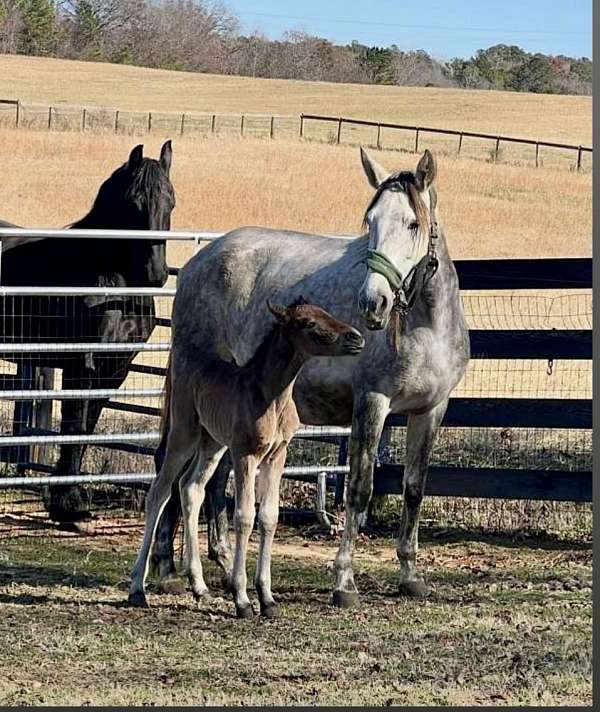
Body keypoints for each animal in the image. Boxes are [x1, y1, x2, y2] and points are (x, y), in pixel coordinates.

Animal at [0, 141, 175, 523]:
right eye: (134, 203)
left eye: (171, 201)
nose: (156, 274)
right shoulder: (82, 364)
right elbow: (74, 426)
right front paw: (66, 505)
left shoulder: (115, 369)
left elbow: (88, 426)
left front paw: (72, 501)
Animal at [129, 298, 365, 616]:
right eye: (309, 323)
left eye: (327, 312)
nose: (356, 338)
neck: (271, 396)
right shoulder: (245, 454)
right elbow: (243, 517)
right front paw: (242, 599)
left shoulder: (277, 455)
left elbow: (268, 516)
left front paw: (267, 598)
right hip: (184, 435)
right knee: (159, 492)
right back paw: (137, 589)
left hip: (213, 444)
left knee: (191, 488)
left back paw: (200, 587)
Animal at [150, 148, 470, 607]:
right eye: (370, 221)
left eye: (412, 223)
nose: (373, 303)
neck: (426, 325)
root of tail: (198, 262)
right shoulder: (372, 403)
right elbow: (359, 489)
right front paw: (344, 582)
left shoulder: (430, 410)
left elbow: (414, 488)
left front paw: (410, 576)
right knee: (171, 469)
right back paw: (166, 569)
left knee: (211, 481)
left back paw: (224, 567)